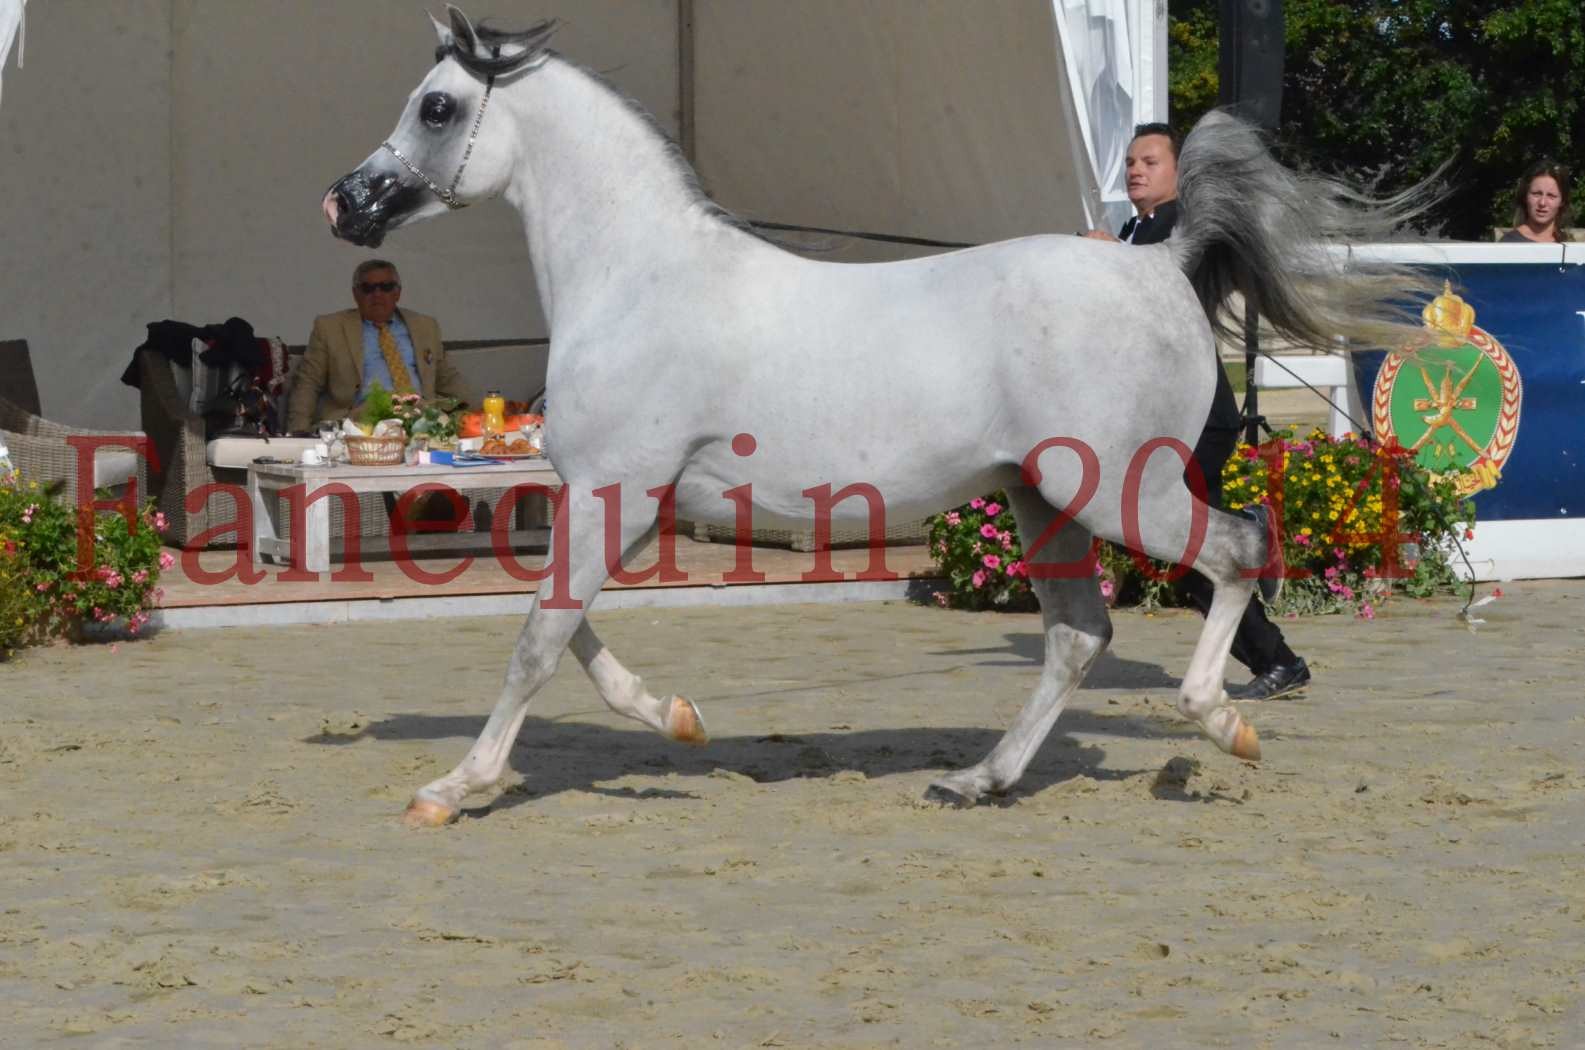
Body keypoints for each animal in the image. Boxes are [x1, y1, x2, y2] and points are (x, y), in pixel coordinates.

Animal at [324, 10, 1439, 831]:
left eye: (436, 106)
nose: (345, 202)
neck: (639, 280)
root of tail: (1159, 262)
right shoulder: (622, 501)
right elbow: (566, 625)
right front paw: (676, 720)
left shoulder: (615, 491)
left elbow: (538, 638)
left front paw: (451, 790)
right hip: (1043, 500)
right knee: (1077, 634)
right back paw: (976, 781)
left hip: (1126, 493)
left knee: (1236, 551)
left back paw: (1219, 723)